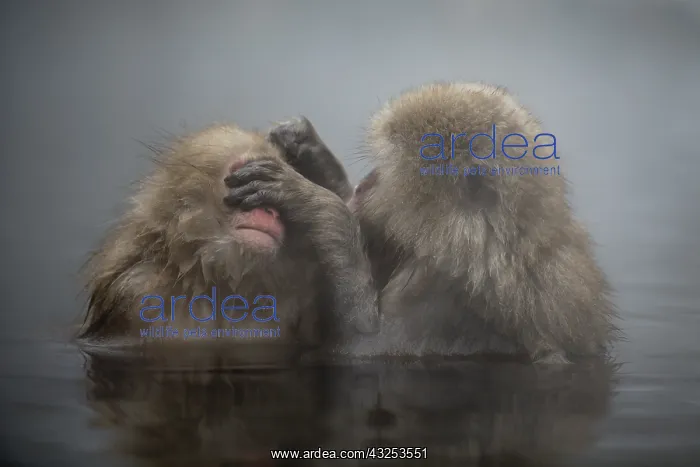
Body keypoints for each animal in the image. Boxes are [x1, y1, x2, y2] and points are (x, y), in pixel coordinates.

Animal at [261, 83, 619, 364]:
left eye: (388, 170)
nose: (365, 184)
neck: (494, 233)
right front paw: (307, 147)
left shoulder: (445, 286)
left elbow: (363, 348)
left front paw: (312, 200)